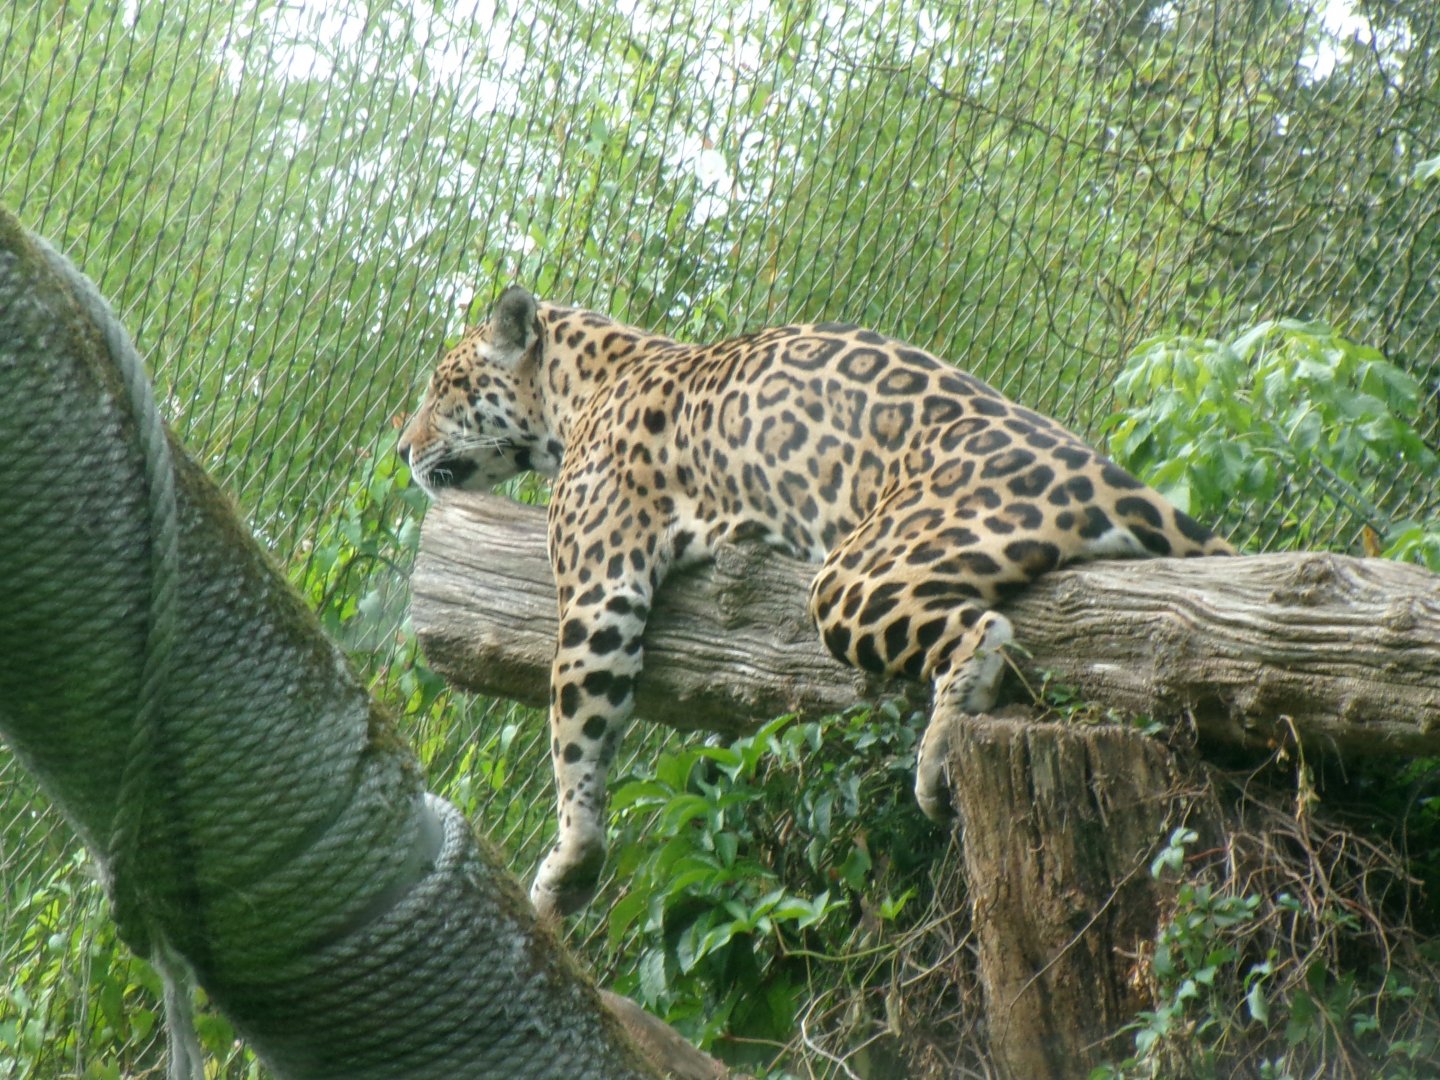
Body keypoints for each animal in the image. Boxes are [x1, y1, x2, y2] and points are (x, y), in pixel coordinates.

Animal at [398, 285, 1232, 920]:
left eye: (443, 389)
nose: (403, 449)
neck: (577, 387)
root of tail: (1104, 472)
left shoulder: (601, 594)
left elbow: (575, 736)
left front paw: (567, 866)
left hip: (855, 576)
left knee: (984, 630)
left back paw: (938, 758)